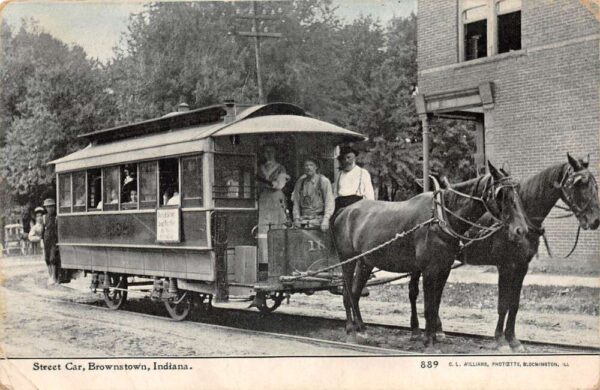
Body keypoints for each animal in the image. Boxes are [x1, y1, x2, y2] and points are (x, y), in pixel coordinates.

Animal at [330, 162, 528, 350]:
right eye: (501, 193)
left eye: (517, 191)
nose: (521, 230)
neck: (440, 217)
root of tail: (344, 211)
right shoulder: (429, 270)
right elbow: (428, 306)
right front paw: (428, 342)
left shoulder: (443, 269)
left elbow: (435, 306)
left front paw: (433, 337)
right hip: (347, 260)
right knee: (347, 294)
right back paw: (350, 330)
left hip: (365, 262)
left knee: (355, 292)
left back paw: (362, 329)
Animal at [408, 154, 600, 352]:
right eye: (579, 184)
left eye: (594, 184)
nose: (595, 220)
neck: (523, 216)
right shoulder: (505, 266)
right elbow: (503, 305)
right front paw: (500, 339)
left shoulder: (521, 267)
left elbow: (513, 305)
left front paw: (513, 339)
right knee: (414, 291)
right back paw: (416, 330)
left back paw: (438, 331)